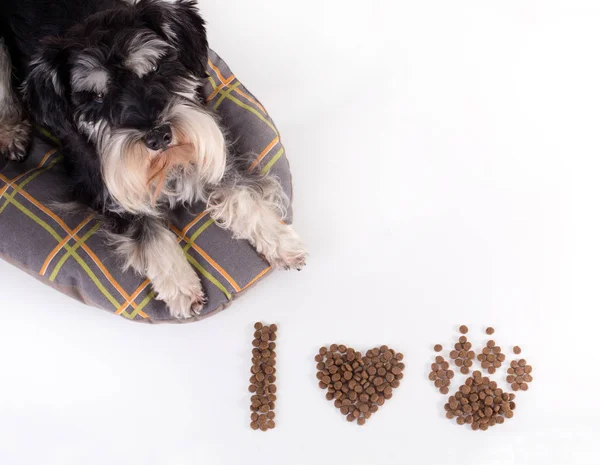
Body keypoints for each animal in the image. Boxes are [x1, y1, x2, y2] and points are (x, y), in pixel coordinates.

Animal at [0, 0, 308, 318]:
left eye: (156, 68)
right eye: (96, 97)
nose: (158, 137)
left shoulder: (214, 148)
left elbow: (241, 193)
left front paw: (280, 240)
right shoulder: (108, 192)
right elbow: (150, 233)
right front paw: (181, 286)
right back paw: (12, 133)